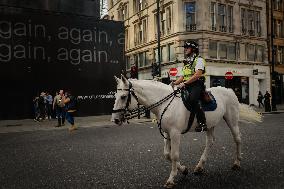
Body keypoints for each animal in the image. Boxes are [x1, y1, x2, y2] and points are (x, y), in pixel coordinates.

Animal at [111, 74, 262, 188]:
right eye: (115, 96)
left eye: (123, 97)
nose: (115, 120)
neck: (164, 103)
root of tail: (229, 90)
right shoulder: (167, 133)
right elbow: (167, 154)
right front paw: (183, 170)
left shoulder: (175, 133)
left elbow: (174, 155)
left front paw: (171, 179)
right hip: (210, 124)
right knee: (210, 142)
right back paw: (200, 166)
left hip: (231, 120)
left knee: (237, 138)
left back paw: (237, 163)